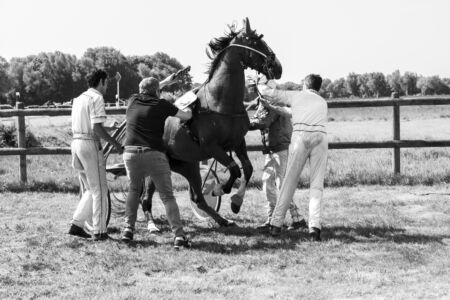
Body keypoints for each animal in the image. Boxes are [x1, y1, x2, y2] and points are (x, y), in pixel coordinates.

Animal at [148, 18, 282, 225]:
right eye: (256, 42)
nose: (278, 67)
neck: (220, 102)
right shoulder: (212, 147)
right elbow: (234, 169)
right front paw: (220, 189)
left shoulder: (237, 142)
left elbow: (248, 169)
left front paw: (236, 202)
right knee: (145, 196)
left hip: (186, 164)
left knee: (197, 198)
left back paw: (222, 220)